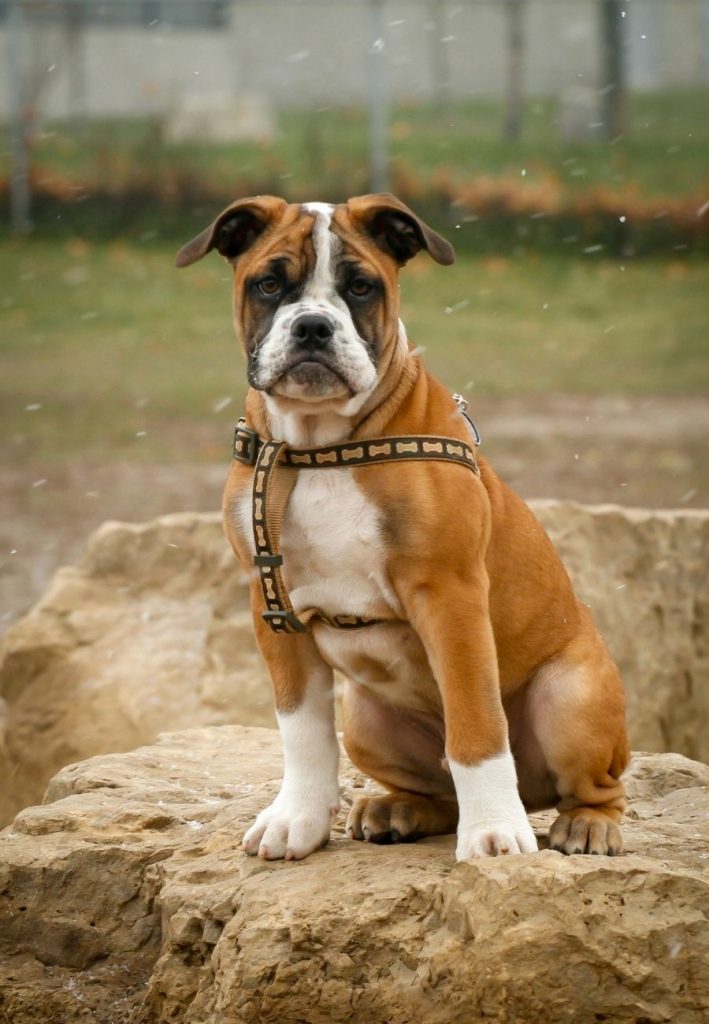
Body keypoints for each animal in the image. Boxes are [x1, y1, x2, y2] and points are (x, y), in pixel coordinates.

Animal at [176, 193, 627, 864]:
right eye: (269, 284)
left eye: (361, 287)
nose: (313, 327)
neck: (320, 446)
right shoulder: (271, 605)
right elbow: (301, 727)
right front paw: (297, 817)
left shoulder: (450, 597)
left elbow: (476, 725)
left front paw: (494, 832)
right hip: (366, 718)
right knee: (435, 787)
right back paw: (398, 808)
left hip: (570, 695)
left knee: (593, 783)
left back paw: (588, 824)